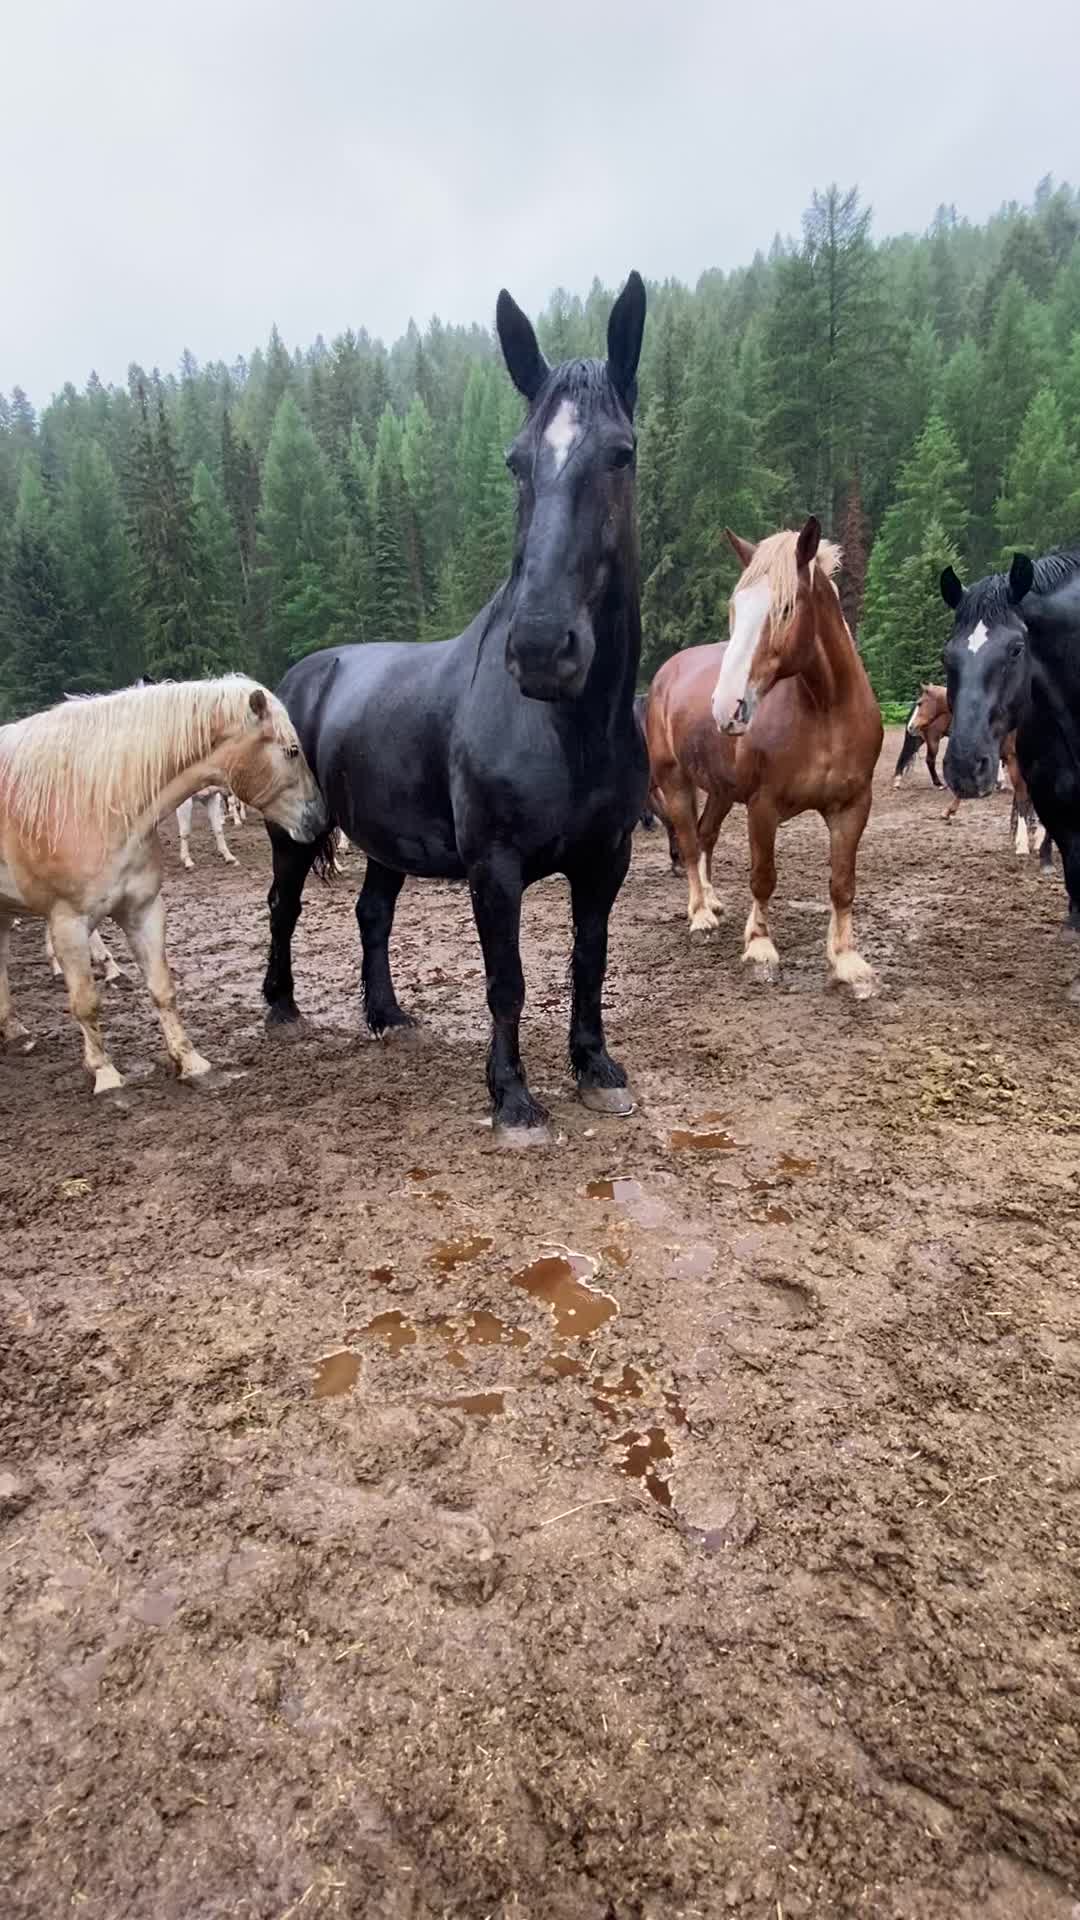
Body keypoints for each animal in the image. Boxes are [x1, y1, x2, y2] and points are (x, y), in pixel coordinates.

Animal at [1, 676, 325, 1092]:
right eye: (293, 750)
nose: (320, 819)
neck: (97, 804)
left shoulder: (143, 910)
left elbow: (162, 989)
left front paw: (191, 1061)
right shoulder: (67, 921)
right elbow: (85, 1001)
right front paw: (105, 1073)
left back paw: (14, 1032)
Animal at [262, 271, 648, 1140]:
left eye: (622, 454)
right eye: (514, 461)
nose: (539, 648)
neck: (568, 730)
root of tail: (304, 675)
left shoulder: (606, 859)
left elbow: (590, 960)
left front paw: (595, 1068)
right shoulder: (494, 869)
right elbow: (507, 979)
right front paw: (513, 1100)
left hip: (383, 838)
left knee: (372, 913)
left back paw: (386, 1015)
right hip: (293, 835)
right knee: (284, 906)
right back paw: (280, 1009)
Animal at [646, 517, 882, 997]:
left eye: (787, 608)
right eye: (735, 610)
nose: (726, 708)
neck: (826, 709)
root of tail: (665, 673)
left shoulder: (853, 806)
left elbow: (842, 883)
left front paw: (847, 960)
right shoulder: (763, 805)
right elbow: (763, 876)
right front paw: (759, 947)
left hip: (720, 790)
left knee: (705, 836)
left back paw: (713, 901)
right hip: (674, 781)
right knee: (688, 841)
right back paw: (700, 914)